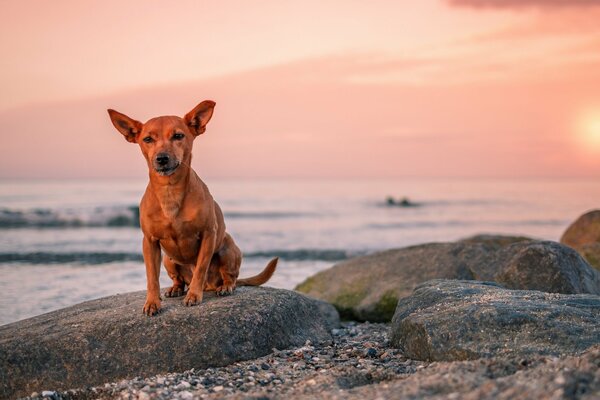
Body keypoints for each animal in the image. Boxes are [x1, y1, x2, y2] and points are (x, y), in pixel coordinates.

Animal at [107, 101, 276, 316]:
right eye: (147, 139)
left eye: (178, 136)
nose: (162, 158)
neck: (169, 190)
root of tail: (211, 285)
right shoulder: (150, 242)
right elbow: (152, 277)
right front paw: (152, 302)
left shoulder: (208, 235)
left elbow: (200, 269)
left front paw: (194, 295)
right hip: (168, 259)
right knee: (178, 278)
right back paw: (176, 288)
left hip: (227, 248)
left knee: (230, 276)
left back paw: (224, 286)